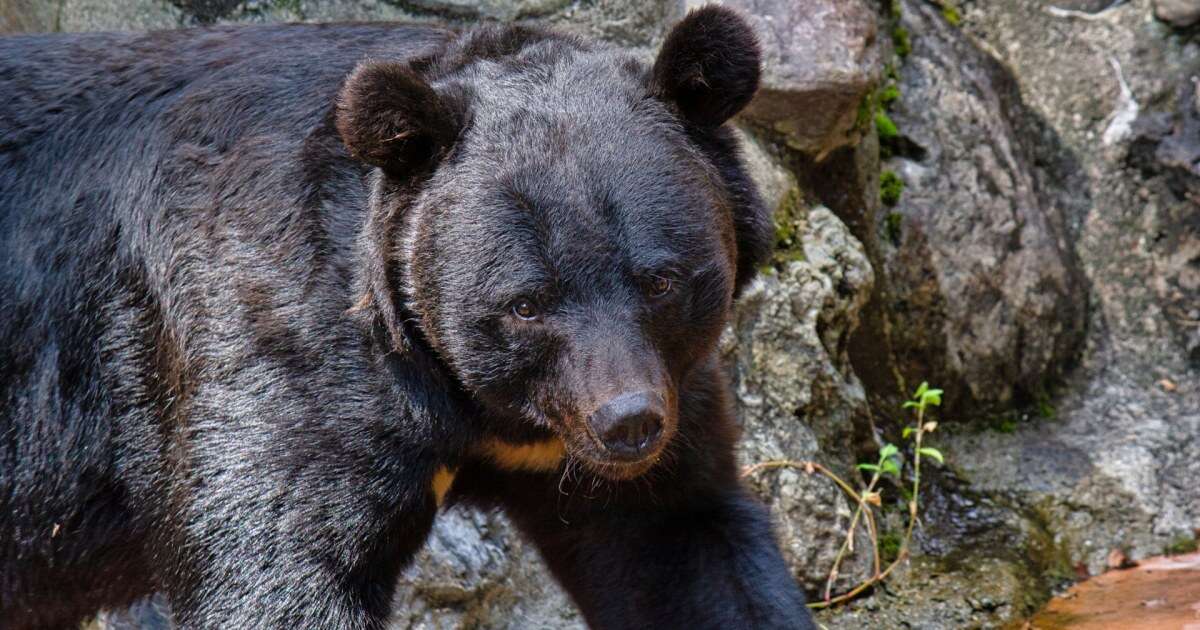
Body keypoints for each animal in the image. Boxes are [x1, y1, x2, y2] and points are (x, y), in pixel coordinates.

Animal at [0, 6, 816, 628]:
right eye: (525, 304)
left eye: (660, 281)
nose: (628, 423)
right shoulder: (265, 331)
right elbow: (278, 559)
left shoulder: (663, 397)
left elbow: (685, 544)